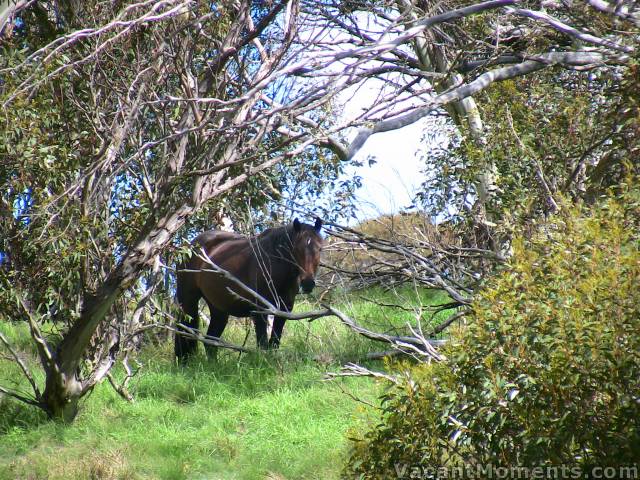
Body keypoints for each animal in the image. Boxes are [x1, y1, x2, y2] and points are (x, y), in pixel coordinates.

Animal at [174, 218, 322, 360]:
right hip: (188, 300)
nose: (308, 283)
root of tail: (190, 246)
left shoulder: (285, 309)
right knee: (186, 332)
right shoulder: (260, 309)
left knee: (210, 342)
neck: (272, 264)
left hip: (218, 307)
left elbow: (274, 341)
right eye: (296, 248)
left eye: (320, 249)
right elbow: (262, 344)